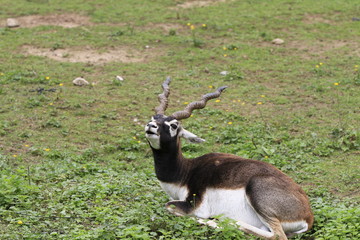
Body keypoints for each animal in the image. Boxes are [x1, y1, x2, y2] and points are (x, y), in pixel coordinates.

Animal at [145, 78, 314, 239]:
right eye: (153, 117)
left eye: (173, 125)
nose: (150, 126)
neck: (184, 173)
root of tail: (308, 216)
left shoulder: (194, 204)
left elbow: (168, 206)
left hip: (257, 194)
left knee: (277, 236)